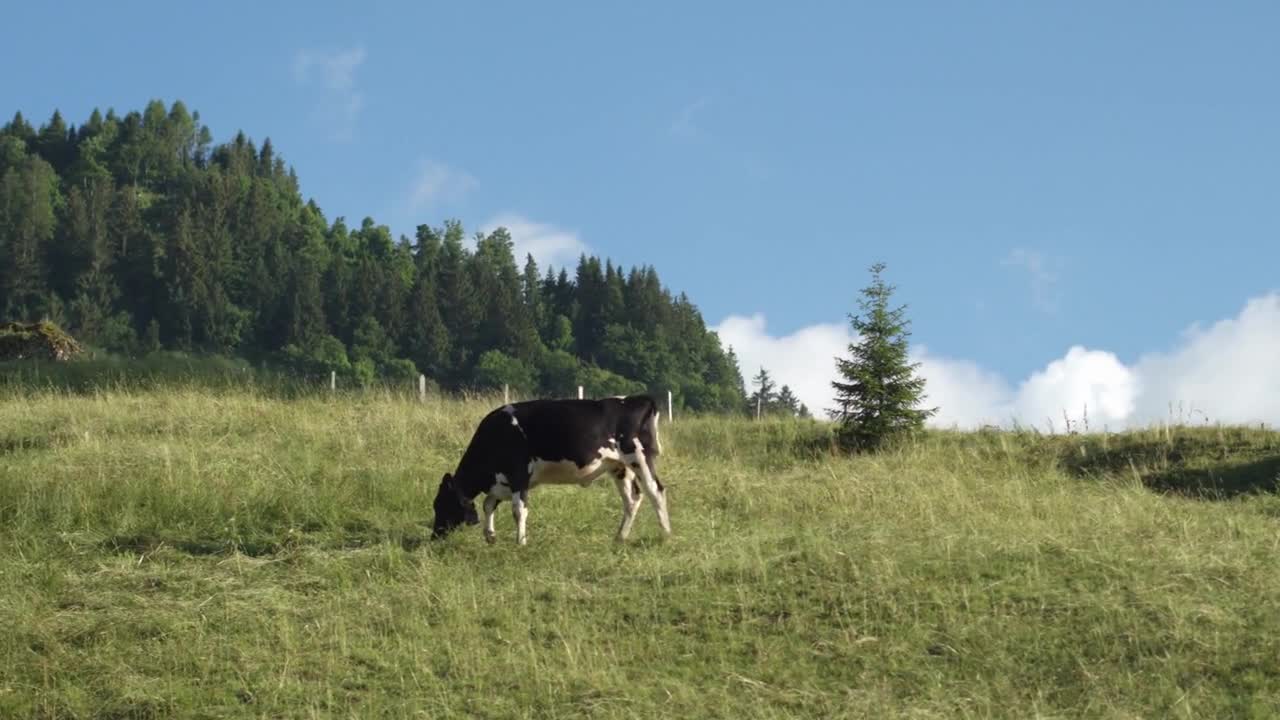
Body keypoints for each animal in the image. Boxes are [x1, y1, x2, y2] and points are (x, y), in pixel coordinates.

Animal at [427, 392, 670, 543]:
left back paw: (665, 535)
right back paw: (619, 538)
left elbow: (518, 510)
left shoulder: (519, 475)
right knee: (632, 499)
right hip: (619, 467)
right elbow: (488, 504)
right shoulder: (501, 480)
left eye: (441, 504)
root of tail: (637, 398)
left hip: (639, 456)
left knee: (655, 491)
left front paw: (520, 542)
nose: (435, 535)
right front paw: (490, 536)